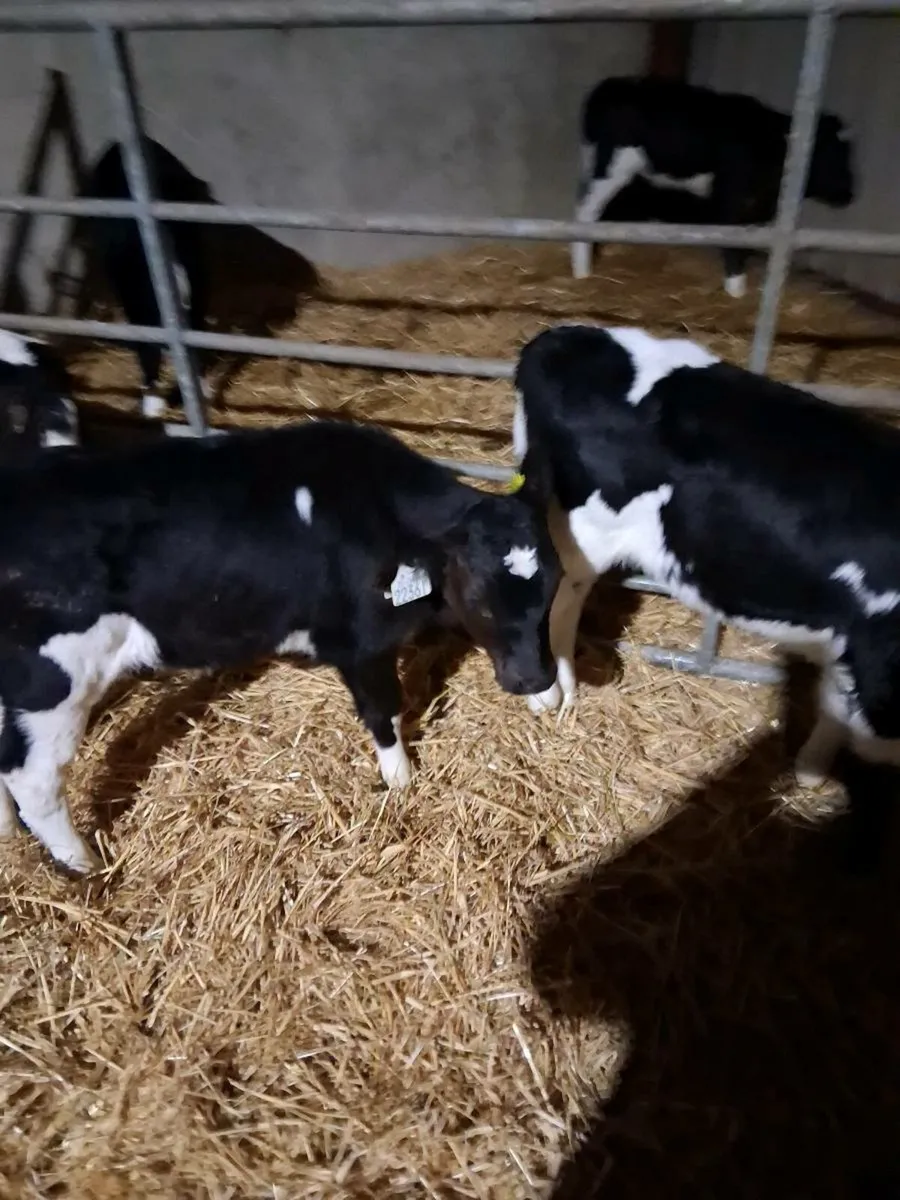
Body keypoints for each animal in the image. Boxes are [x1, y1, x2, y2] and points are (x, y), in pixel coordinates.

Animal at [0, 420, 559, 875]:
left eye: (552, 590)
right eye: (481, 599)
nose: (535, 677)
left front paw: (546, 698)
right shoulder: (361, 642)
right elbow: (384, 712)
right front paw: (401, 780)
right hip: (51, 684)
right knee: (35, 781)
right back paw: (85, 865)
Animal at [570, 77, 855, 298]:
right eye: (826, 153)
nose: (848, 194)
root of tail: (612, 85)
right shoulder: (731, 194)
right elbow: (733, 240)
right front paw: (736, 289)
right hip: (615, 164)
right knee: (586, 211)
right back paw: (582, 272)